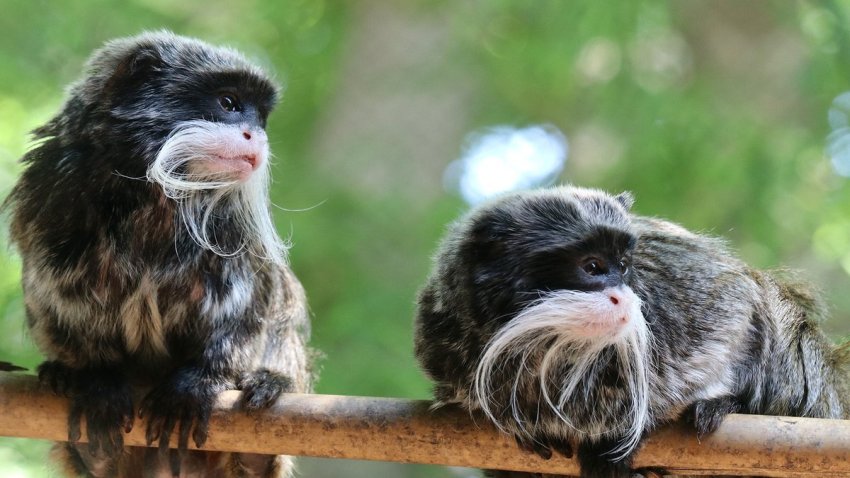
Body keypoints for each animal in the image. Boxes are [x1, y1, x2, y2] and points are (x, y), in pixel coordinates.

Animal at [6, 31, 312, 476]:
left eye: (260, 119)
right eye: (229, 103)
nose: (257, 137)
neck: (152, 192)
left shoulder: (236, 230)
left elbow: (252, 304)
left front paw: (198, 381)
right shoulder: (50, 191)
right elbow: (54, 295)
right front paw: (96, 378)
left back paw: (262, 421)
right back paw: (85, 433)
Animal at [412, 186, 848, 478]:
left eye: (623, 265)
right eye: (592, 267)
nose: (623, 296)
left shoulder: (673, 288)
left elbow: (733, 302)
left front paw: (623, 439)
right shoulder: (443, 338)